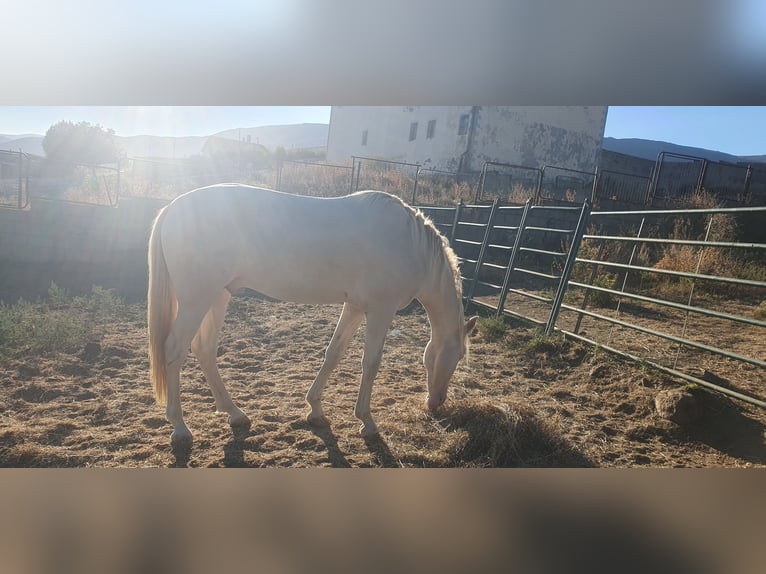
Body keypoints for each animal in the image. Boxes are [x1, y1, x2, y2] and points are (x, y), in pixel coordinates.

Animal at [147, 184, 476, 446]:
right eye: (459, 355)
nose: (436, 403)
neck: (411, 245)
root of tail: (173, 208)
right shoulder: (381, 309)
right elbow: (370, 363)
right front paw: (366, 422)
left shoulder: (355, 307)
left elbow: (334, 353)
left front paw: (315, 409)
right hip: (197, 299)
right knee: (174, 351)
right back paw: (180, 427)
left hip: (218, 296)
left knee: (204, 350)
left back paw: (235, 413)